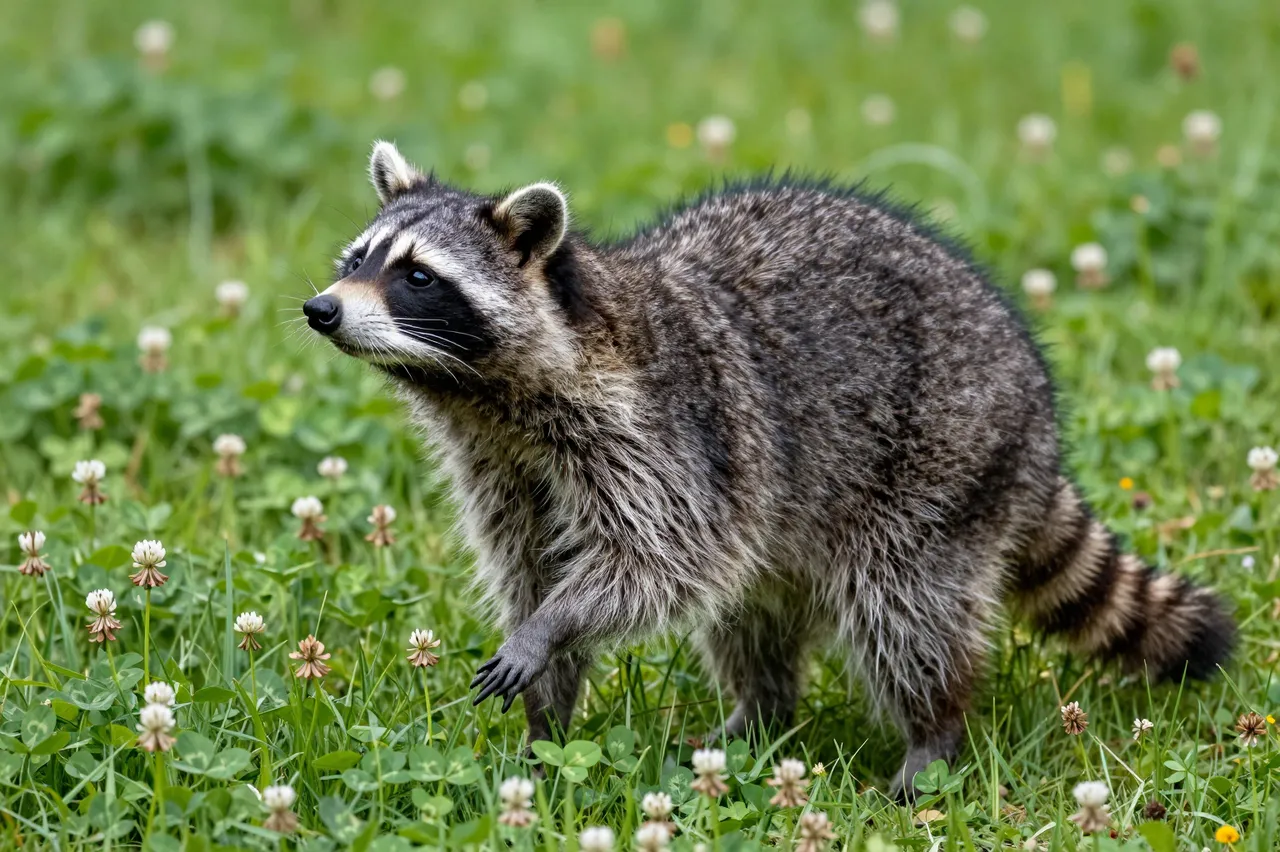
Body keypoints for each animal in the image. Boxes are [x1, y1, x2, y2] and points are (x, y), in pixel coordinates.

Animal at [305, 141, 1235, 798]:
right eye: (356, 260)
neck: (489, 396)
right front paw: (546, 724)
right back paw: (758, 713)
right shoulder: (505, 469)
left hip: (939, 463)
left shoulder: (663, 440)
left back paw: (932, 731)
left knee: (907, 608)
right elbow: (530, 567)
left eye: (418, 275)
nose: (321, 309)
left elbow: (656, 563)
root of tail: (1038, 411)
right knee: (753, 617)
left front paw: (552, 630)